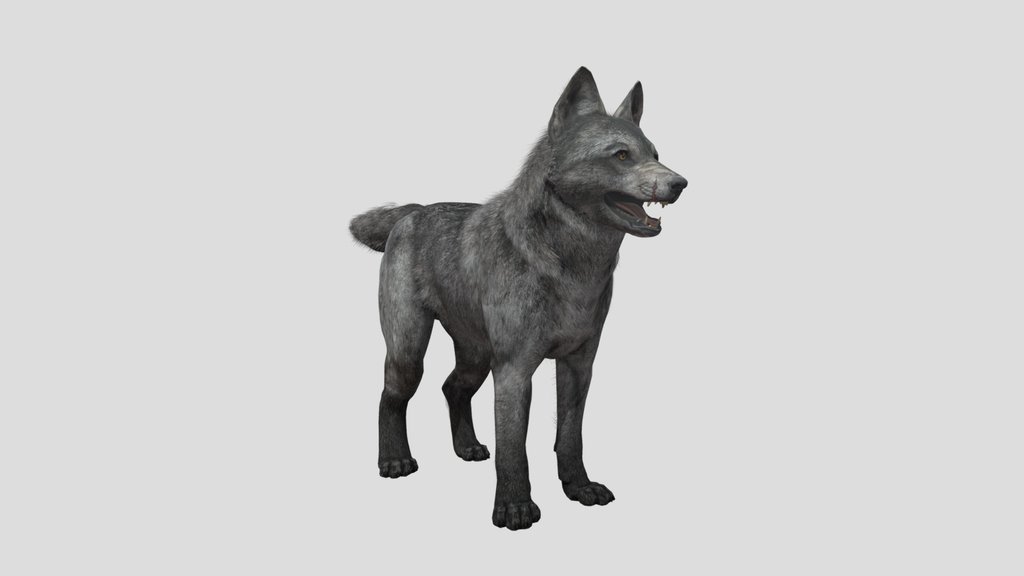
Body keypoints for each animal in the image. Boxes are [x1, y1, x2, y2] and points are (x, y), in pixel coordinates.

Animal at [350, 67, 687, 530]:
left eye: (655, 153)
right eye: (621, 155)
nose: (681, 184)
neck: (570, 268)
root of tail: (410, 212)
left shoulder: (578, 366)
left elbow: (570, 436)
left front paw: (579, 487)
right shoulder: (513, 370)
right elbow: (514, 447)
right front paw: (514, 507)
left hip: (475, 357)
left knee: (452, 388)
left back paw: (467, 447)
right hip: (409, 352)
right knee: (390, 397)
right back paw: (395, 460)